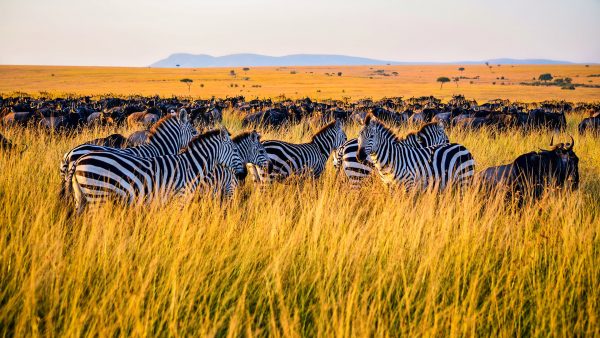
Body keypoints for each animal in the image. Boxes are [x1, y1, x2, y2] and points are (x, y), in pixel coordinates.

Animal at [71, 128, 246, 213]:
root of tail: (79, 160)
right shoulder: (179, 199)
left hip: (82, 197)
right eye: (235, 150)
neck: (191, 166)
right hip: (98, 194)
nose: (244, 174)